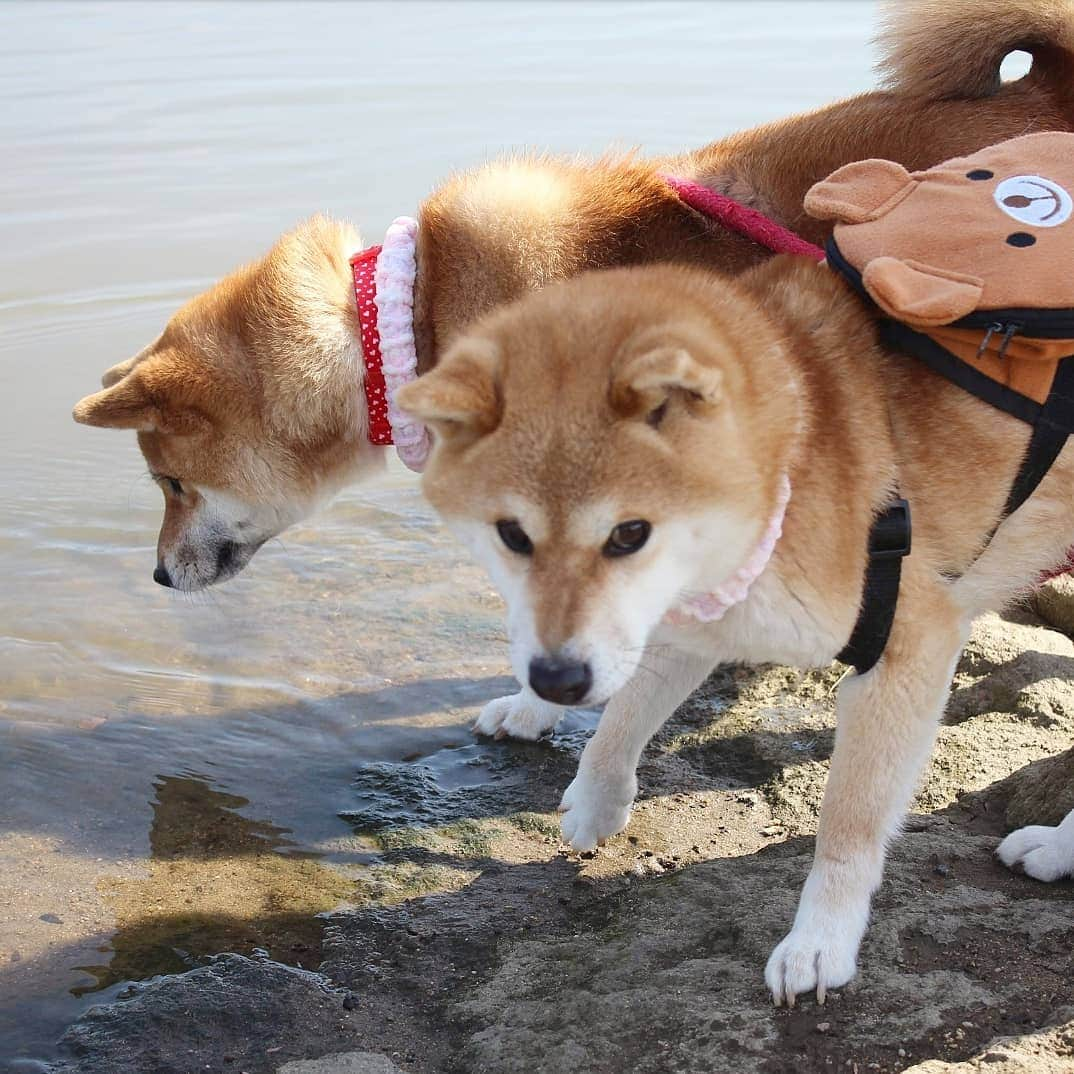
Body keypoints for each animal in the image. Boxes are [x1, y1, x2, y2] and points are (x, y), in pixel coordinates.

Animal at [393, 253, 1074, 1013]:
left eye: (628, 533)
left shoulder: (908, 646)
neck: (797, 455)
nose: (556, 681)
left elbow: (849, 821)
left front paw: (820, 942)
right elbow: (621, 719)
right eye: (512, 534)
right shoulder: (695, 617)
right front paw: (597, 800)